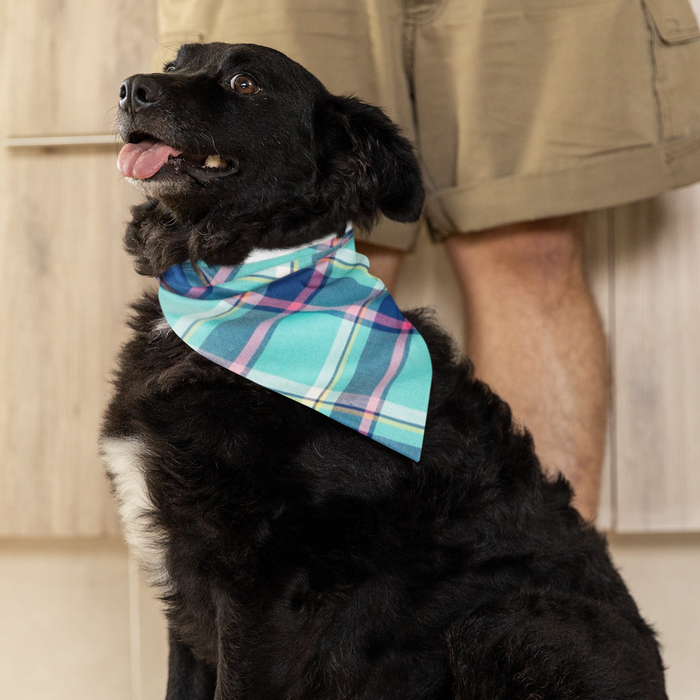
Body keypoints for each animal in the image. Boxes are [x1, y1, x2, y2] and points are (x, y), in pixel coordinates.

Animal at [100, 45, 668, 700]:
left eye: (244, 83)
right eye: (176, 62)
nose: (130, 89)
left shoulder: (261, 586)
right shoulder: (187, 582)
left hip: (505, 623)